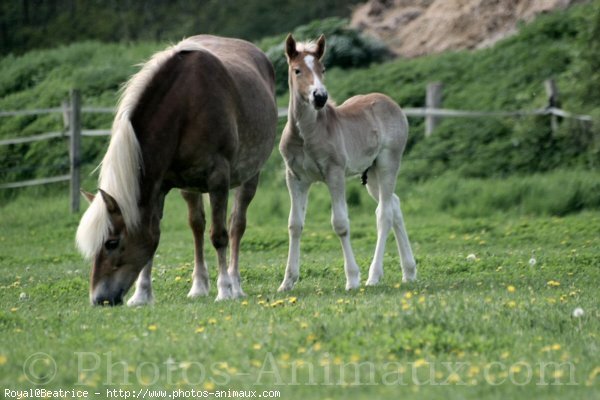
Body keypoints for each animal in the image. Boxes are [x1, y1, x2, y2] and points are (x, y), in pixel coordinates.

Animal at [75, 36, 278, 306]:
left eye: (111, 243)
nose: (99, 299)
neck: (186, 104)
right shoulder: (160, 187)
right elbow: (154, 236)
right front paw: (141, 294)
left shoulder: (218, 179)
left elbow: (219, 235)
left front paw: (224, 290)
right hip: (190, 188)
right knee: (197, 226)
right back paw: (198, 286)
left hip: (249, 177)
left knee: (236, 225)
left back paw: (235, 285)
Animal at [278, 34, 414, 290]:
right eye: (297, 70)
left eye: (323, 68)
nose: (320, 97)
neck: (307, 134)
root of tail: (390, 102)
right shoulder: (296, 178)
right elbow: (294, 225)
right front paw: (287, 281)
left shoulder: (335, 173)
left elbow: (340, 223)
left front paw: (352, 278)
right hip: (371, 173)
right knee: (395, 204)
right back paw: (409, 271)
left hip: (388, 163)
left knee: (384, 213)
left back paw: (373, 276)